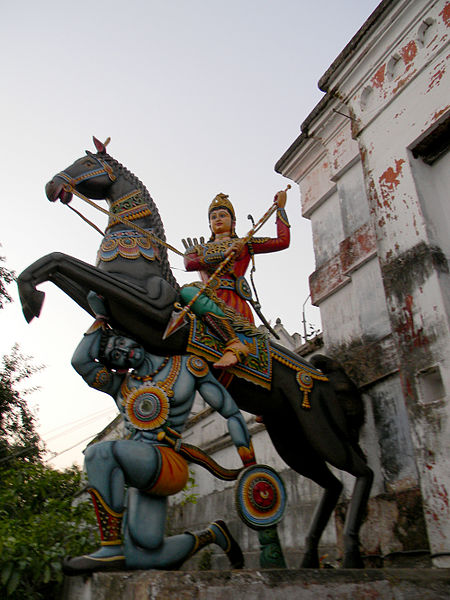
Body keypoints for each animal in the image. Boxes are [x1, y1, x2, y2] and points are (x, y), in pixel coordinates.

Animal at [16, 139, 372, 568]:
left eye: (86, 162)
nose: (53, 186)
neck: (138, 260)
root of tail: (322, 374)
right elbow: (70, 275)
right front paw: (32, 295)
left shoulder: (150, 308)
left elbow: (60, 259)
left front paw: (30, 297)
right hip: (289, 433)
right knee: (332, 482)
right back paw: (307, 559)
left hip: (317, 426)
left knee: (362, 470)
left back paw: (350, 551)